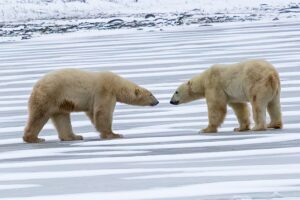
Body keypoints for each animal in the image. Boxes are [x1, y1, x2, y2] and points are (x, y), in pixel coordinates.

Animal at [23, 69, 159, 143]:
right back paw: (34, 138)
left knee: (62, 118)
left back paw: (74, 136)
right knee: (39, 116)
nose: (157, 101)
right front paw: (114, 134)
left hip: (59, 102)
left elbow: (93, 113)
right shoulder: (105, 91)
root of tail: (36, 85)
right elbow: (103, 112)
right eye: (151, 94)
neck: (117, 84)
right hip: (49, 95)